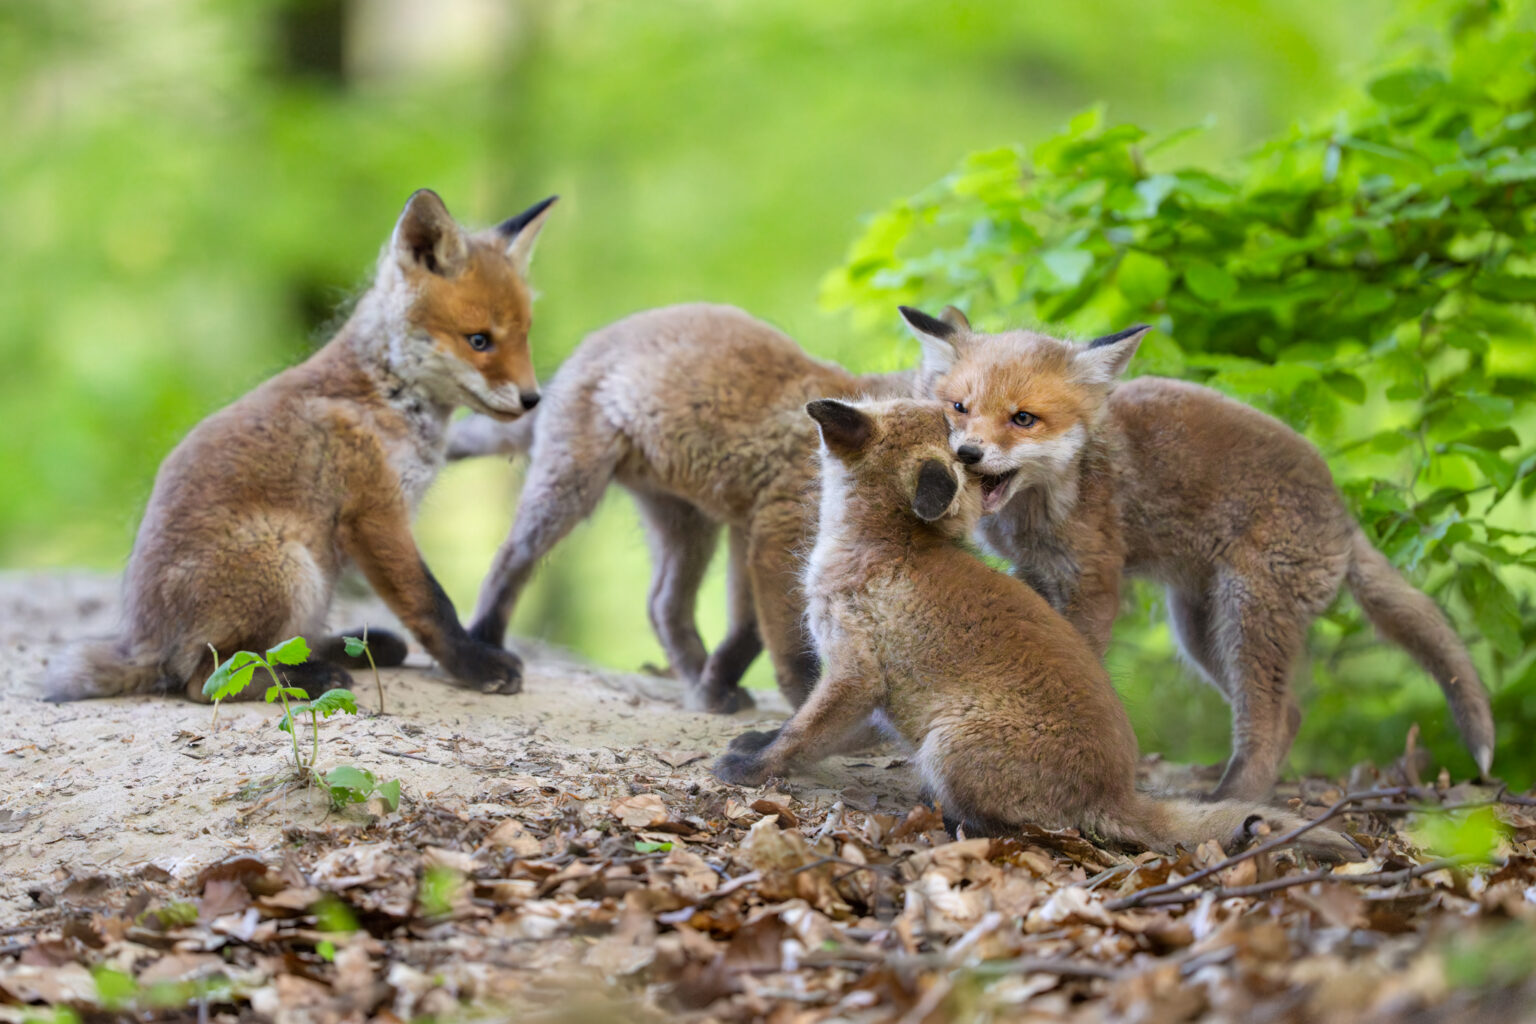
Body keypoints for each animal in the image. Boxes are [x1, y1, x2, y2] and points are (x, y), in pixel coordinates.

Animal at [43, 189, 556, 703]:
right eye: (479, 340)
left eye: (524, 336)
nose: (534, 399)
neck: (384, 393)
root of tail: (144, 643)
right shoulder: (375, 513)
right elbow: (431, 604)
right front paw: (475, 665)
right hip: (290, 566)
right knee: (210, 678)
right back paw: (310, 678)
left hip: (315, 580)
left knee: (279, 647)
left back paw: (350, 650)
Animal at [447, 303, 911, 713]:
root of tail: (586, 347)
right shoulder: (779, 527)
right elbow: (779, 637)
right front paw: (801, 699)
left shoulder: (754, 530)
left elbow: (748, 630)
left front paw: (716, 683)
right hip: (570, 489)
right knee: (510, 558)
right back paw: (486, 644)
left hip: (687, 525)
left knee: (663, 604)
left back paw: (694, 675)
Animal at [712, 397, 1355, 859]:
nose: (825, 406)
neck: (891, 545)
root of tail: (1118, 791)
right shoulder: (875, 692)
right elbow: (811, 730)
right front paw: (756, 743)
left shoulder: (856, 671)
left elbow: (804, 733)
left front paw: (753, 769)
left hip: (949, 742)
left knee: (1024, 830)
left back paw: (947, 822)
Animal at [898, 305, 1497, 800]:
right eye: (959, 408)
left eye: (1023, 418)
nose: (967, 453)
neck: (1049, 500)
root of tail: (1343, 514)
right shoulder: (1037, 573)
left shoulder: (1093, 577)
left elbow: (1079, 660)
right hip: (1200, 632)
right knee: (1292, 714)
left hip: (1248, 617)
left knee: (1268, 720)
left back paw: (1235, 799)